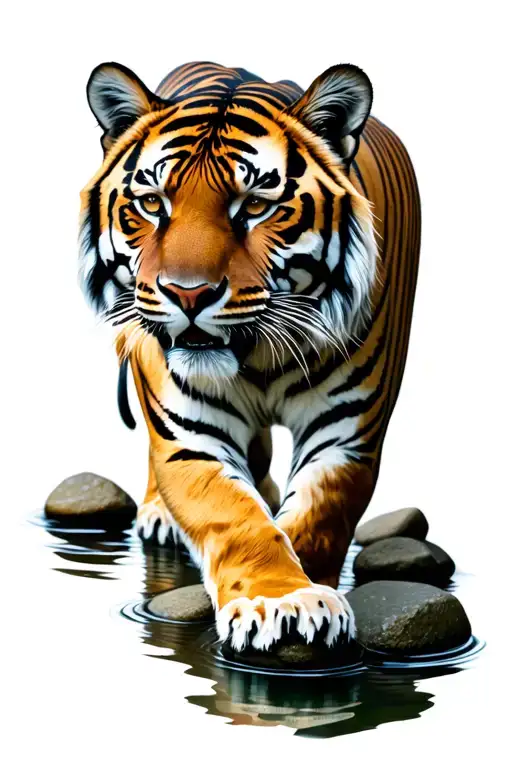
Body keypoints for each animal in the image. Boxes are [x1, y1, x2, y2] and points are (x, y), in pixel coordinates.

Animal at [79, 60, 421, 654]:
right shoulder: (189, 432)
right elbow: (232, 514)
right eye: (152, 203)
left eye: (256, 207)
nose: (187, 293)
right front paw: (279, 600)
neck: (258, 355)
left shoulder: (347, 432)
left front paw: (303, 595)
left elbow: (316, 516)